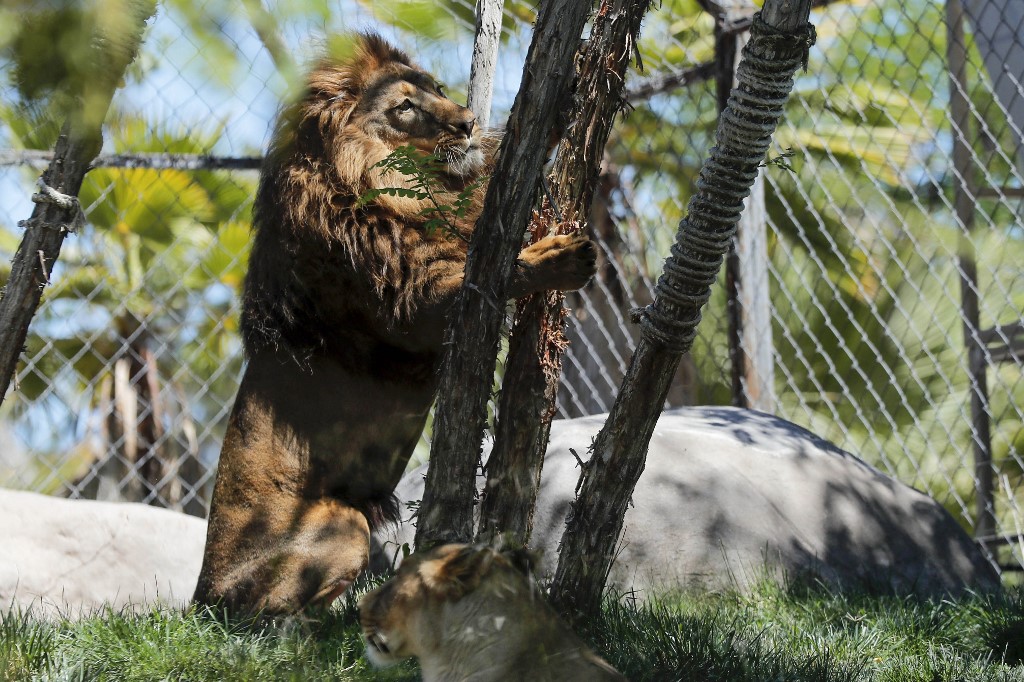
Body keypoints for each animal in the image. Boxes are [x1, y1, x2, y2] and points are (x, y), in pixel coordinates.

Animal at [192, 33, 597, 614]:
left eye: (440, 89)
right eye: (405, 107)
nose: (468, 122)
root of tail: (200, 595)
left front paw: (560, 101)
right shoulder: (417, 301)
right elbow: (494, 268)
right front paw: (558, 257)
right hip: (343, 527)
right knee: (270, 620)